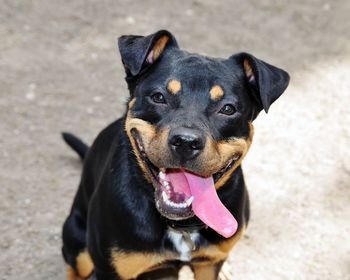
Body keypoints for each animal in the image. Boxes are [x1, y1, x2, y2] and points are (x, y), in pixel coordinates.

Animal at [62, 29, 290, 278]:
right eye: (158, 97)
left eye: (228, 109)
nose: (186, 142)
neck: (182, 227)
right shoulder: (110, 269)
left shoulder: (209, 262)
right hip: (78, 243)